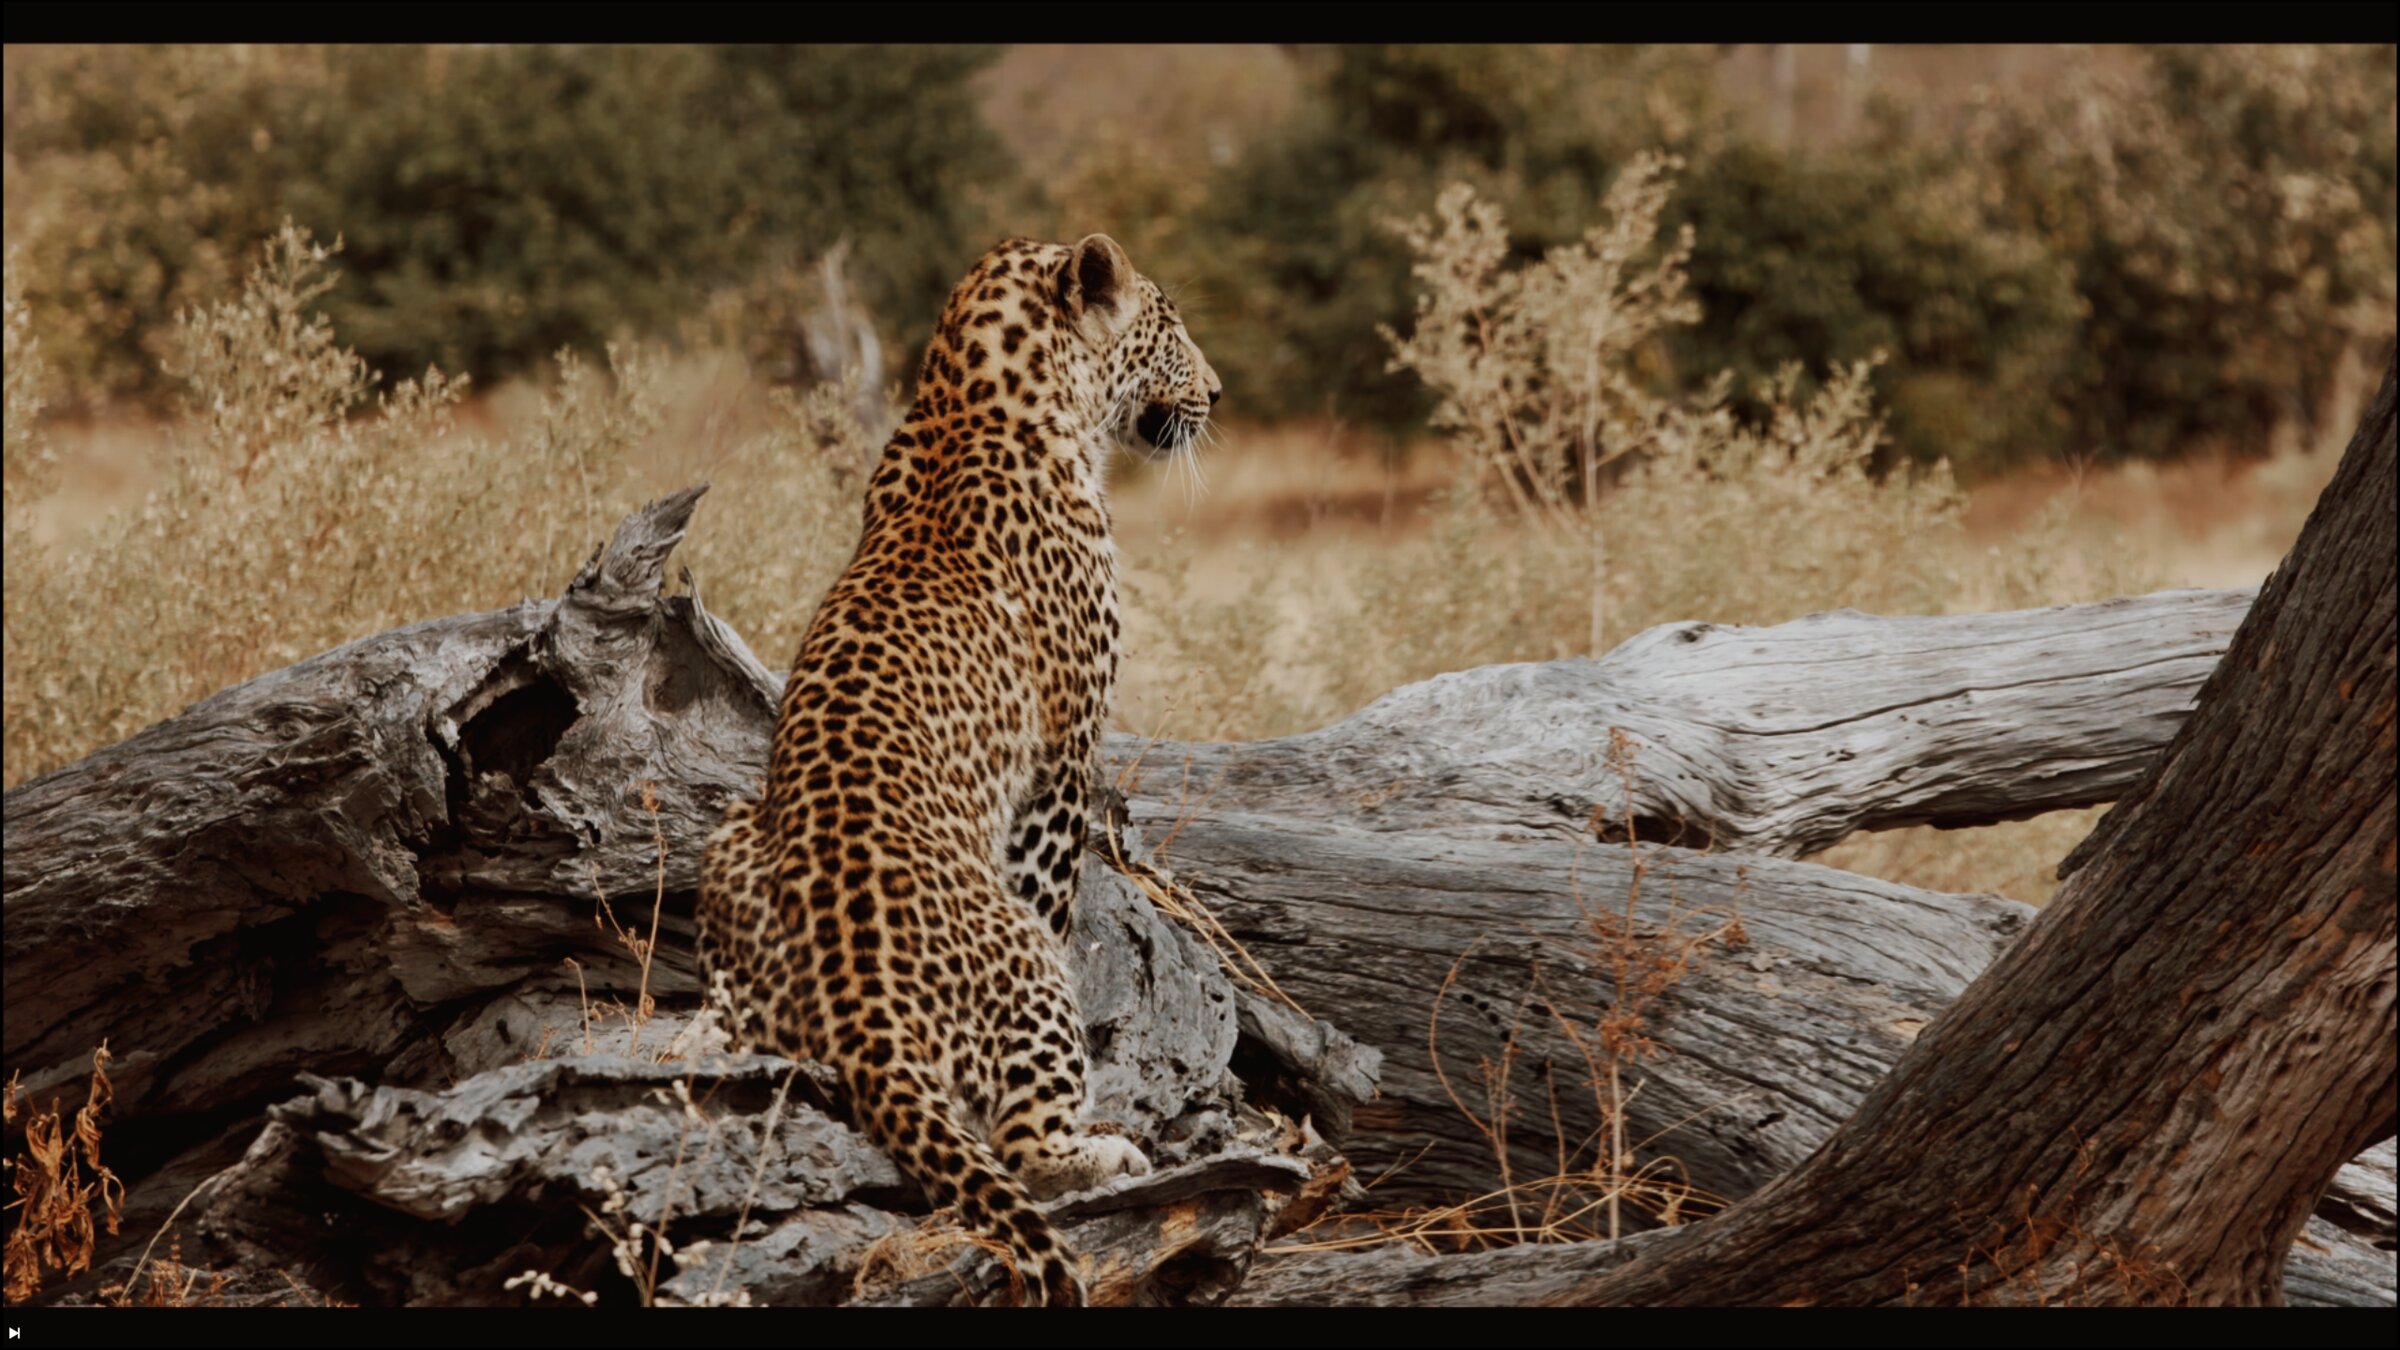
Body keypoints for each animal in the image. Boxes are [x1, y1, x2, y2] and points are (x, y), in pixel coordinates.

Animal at [695, 232, 1220, 1306]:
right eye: (1171, 327)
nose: (1219, 393)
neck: (971, 399)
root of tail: (858, 1002)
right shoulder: (1064, 754)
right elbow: (1058, 890)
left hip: (725, 843)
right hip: (1015, 956)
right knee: (1021, 1147)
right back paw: (1101, 1149)